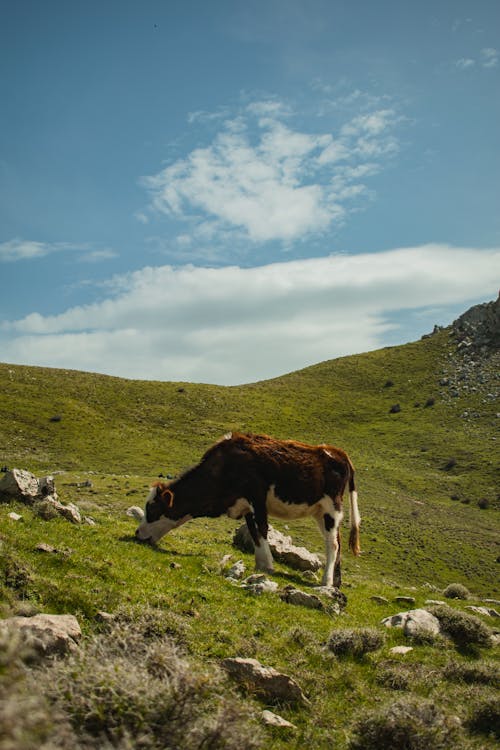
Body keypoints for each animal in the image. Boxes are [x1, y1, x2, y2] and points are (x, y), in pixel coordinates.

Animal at [135, 434, 362, 588]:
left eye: (152, 509)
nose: (137, 533)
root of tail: (337, 452)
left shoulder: (257, 499)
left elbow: (261, 530)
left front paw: (267, 566)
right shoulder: (245, 506)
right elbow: (254, 533)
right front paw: (260, 565)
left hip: (331, 508)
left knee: (332, 544)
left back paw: (326, 581)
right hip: (319, 511)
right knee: (338, 540)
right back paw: (336, 582)